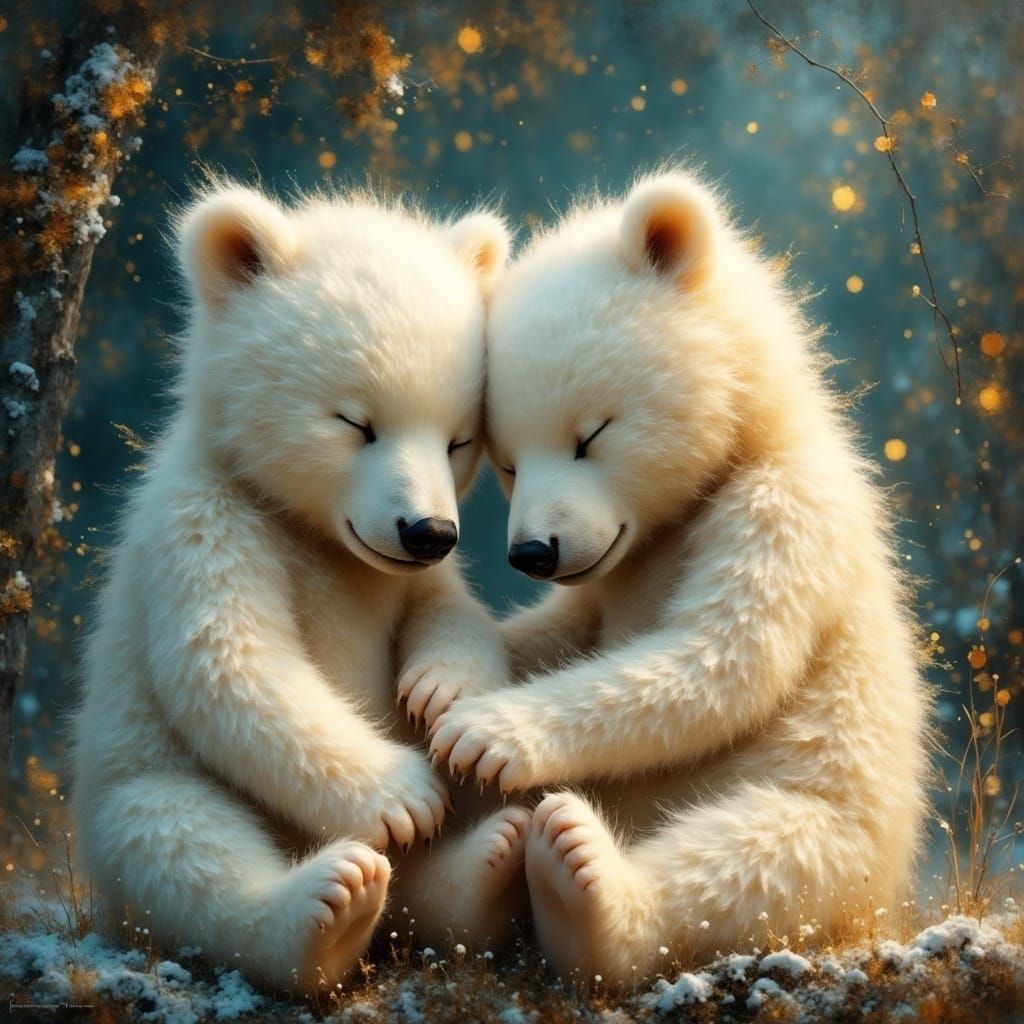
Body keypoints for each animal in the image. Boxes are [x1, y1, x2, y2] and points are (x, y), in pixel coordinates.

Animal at [71, 183, 531, 992]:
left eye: (457, 437)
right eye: (356, 422)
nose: (428, 530)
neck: (312, 532)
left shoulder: (399, 576)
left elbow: (449, 609)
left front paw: (441, 689)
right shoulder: (209, 524)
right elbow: (238, 667)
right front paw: (403, 797)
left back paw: (490, 860)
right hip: (140, 776)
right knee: (175, 837)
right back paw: (334, 905)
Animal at [419, 171, 931, 984]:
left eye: (590, 435)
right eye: (507, 460)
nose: (533, 552)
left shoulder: (781, 510)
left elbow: (718, 660)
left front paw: (485, 732)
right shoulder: (612, 574)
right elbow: (562, 632)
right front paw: (446, 681)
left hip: (834, 807)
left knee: (763, 853)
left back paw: (582, 881)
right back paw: (479, 870)